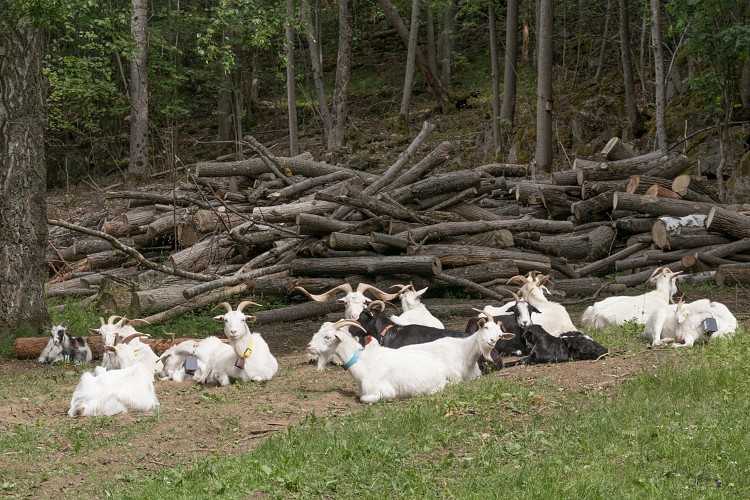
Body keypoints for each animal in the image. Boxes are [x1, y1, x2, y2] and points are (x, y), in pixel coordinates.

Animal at [306, 319, 452, 403]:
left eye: (328, 337)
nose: (309, 346)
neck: (363, 362)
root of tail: (442, 368)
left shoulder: (382, 390)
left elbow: (364, 398)